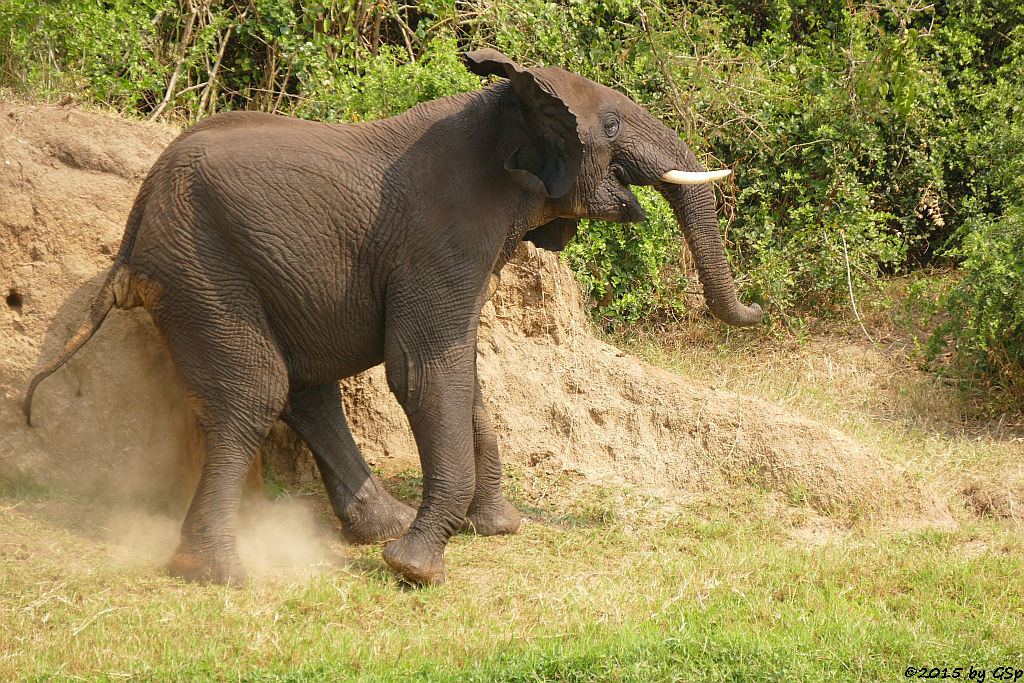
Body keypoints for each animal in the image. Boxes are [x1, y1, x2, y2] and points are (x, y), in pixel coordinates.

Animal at [22, 48, 761, 589]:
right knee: (255, 393)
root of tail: (135, 220)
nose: (754, 308)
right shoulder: (441, 234)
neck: (505, 105)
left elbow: (463, 370)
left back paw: (379, 526)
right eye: (611, 127)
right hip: (201, 265)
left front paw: (495, 528)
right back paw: (221, 573)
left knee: (303, 389)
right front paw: (417, 571)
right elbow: (424, 371)